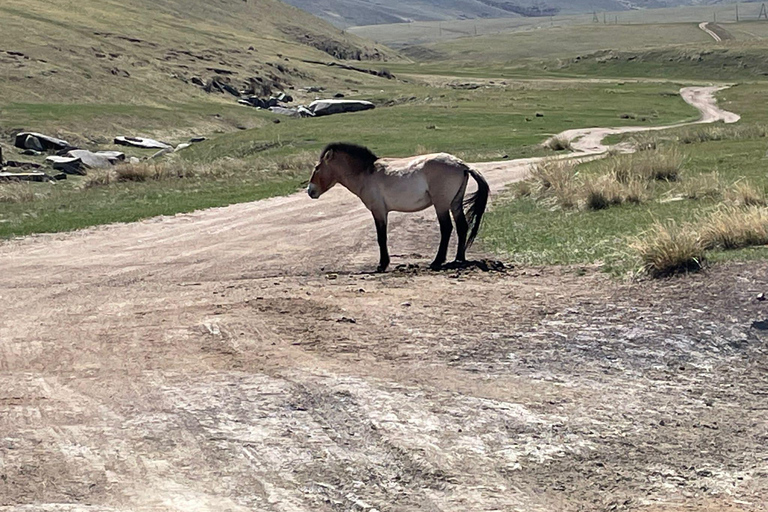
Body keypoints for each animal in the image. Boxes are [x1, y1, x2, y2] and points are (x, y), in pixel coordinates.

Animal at [304, 142, 486, 272]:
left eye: (317, 168)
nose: (310, 191)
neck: (367, 173)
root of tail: (461, 164)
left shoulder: (378, 211)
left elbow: (381, 237)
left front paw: (382, 265)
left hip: (441, 205)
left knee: (447, 228)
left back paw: (437, 262)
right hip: (455, 204)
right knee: (462, 227)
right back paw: (459, 259)